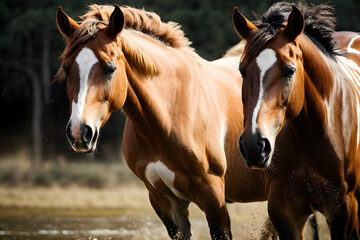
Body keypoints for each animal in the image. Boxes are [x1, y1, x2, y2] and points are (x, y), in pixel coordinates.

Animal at [54, 4, 268, 240]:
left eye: (110, 68)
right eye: (67, 69)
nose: (78, 132)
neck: (169, 116)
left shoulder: (213, 196)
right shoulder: (163, 200)